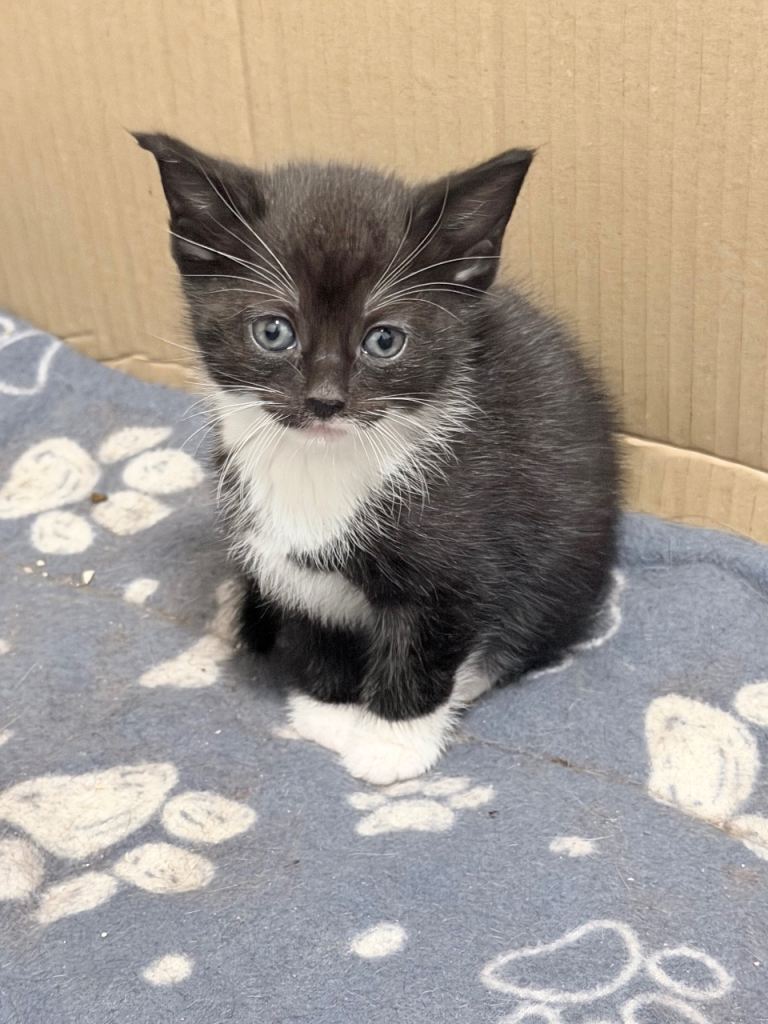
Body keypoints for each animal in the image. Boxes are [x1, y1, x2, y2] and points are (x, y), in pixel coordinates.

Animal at [136, 132, 620, 785]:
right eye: (273, 331)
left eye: (384, 340)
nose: (324, 401)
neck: (320, 466)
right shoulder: (284, 557)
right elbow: (315, 616)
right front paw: (330, 711)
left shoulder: (464, 549)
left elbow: (425, 639)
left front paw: (391, 743)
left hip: (568, 552)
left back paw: (473, 677)